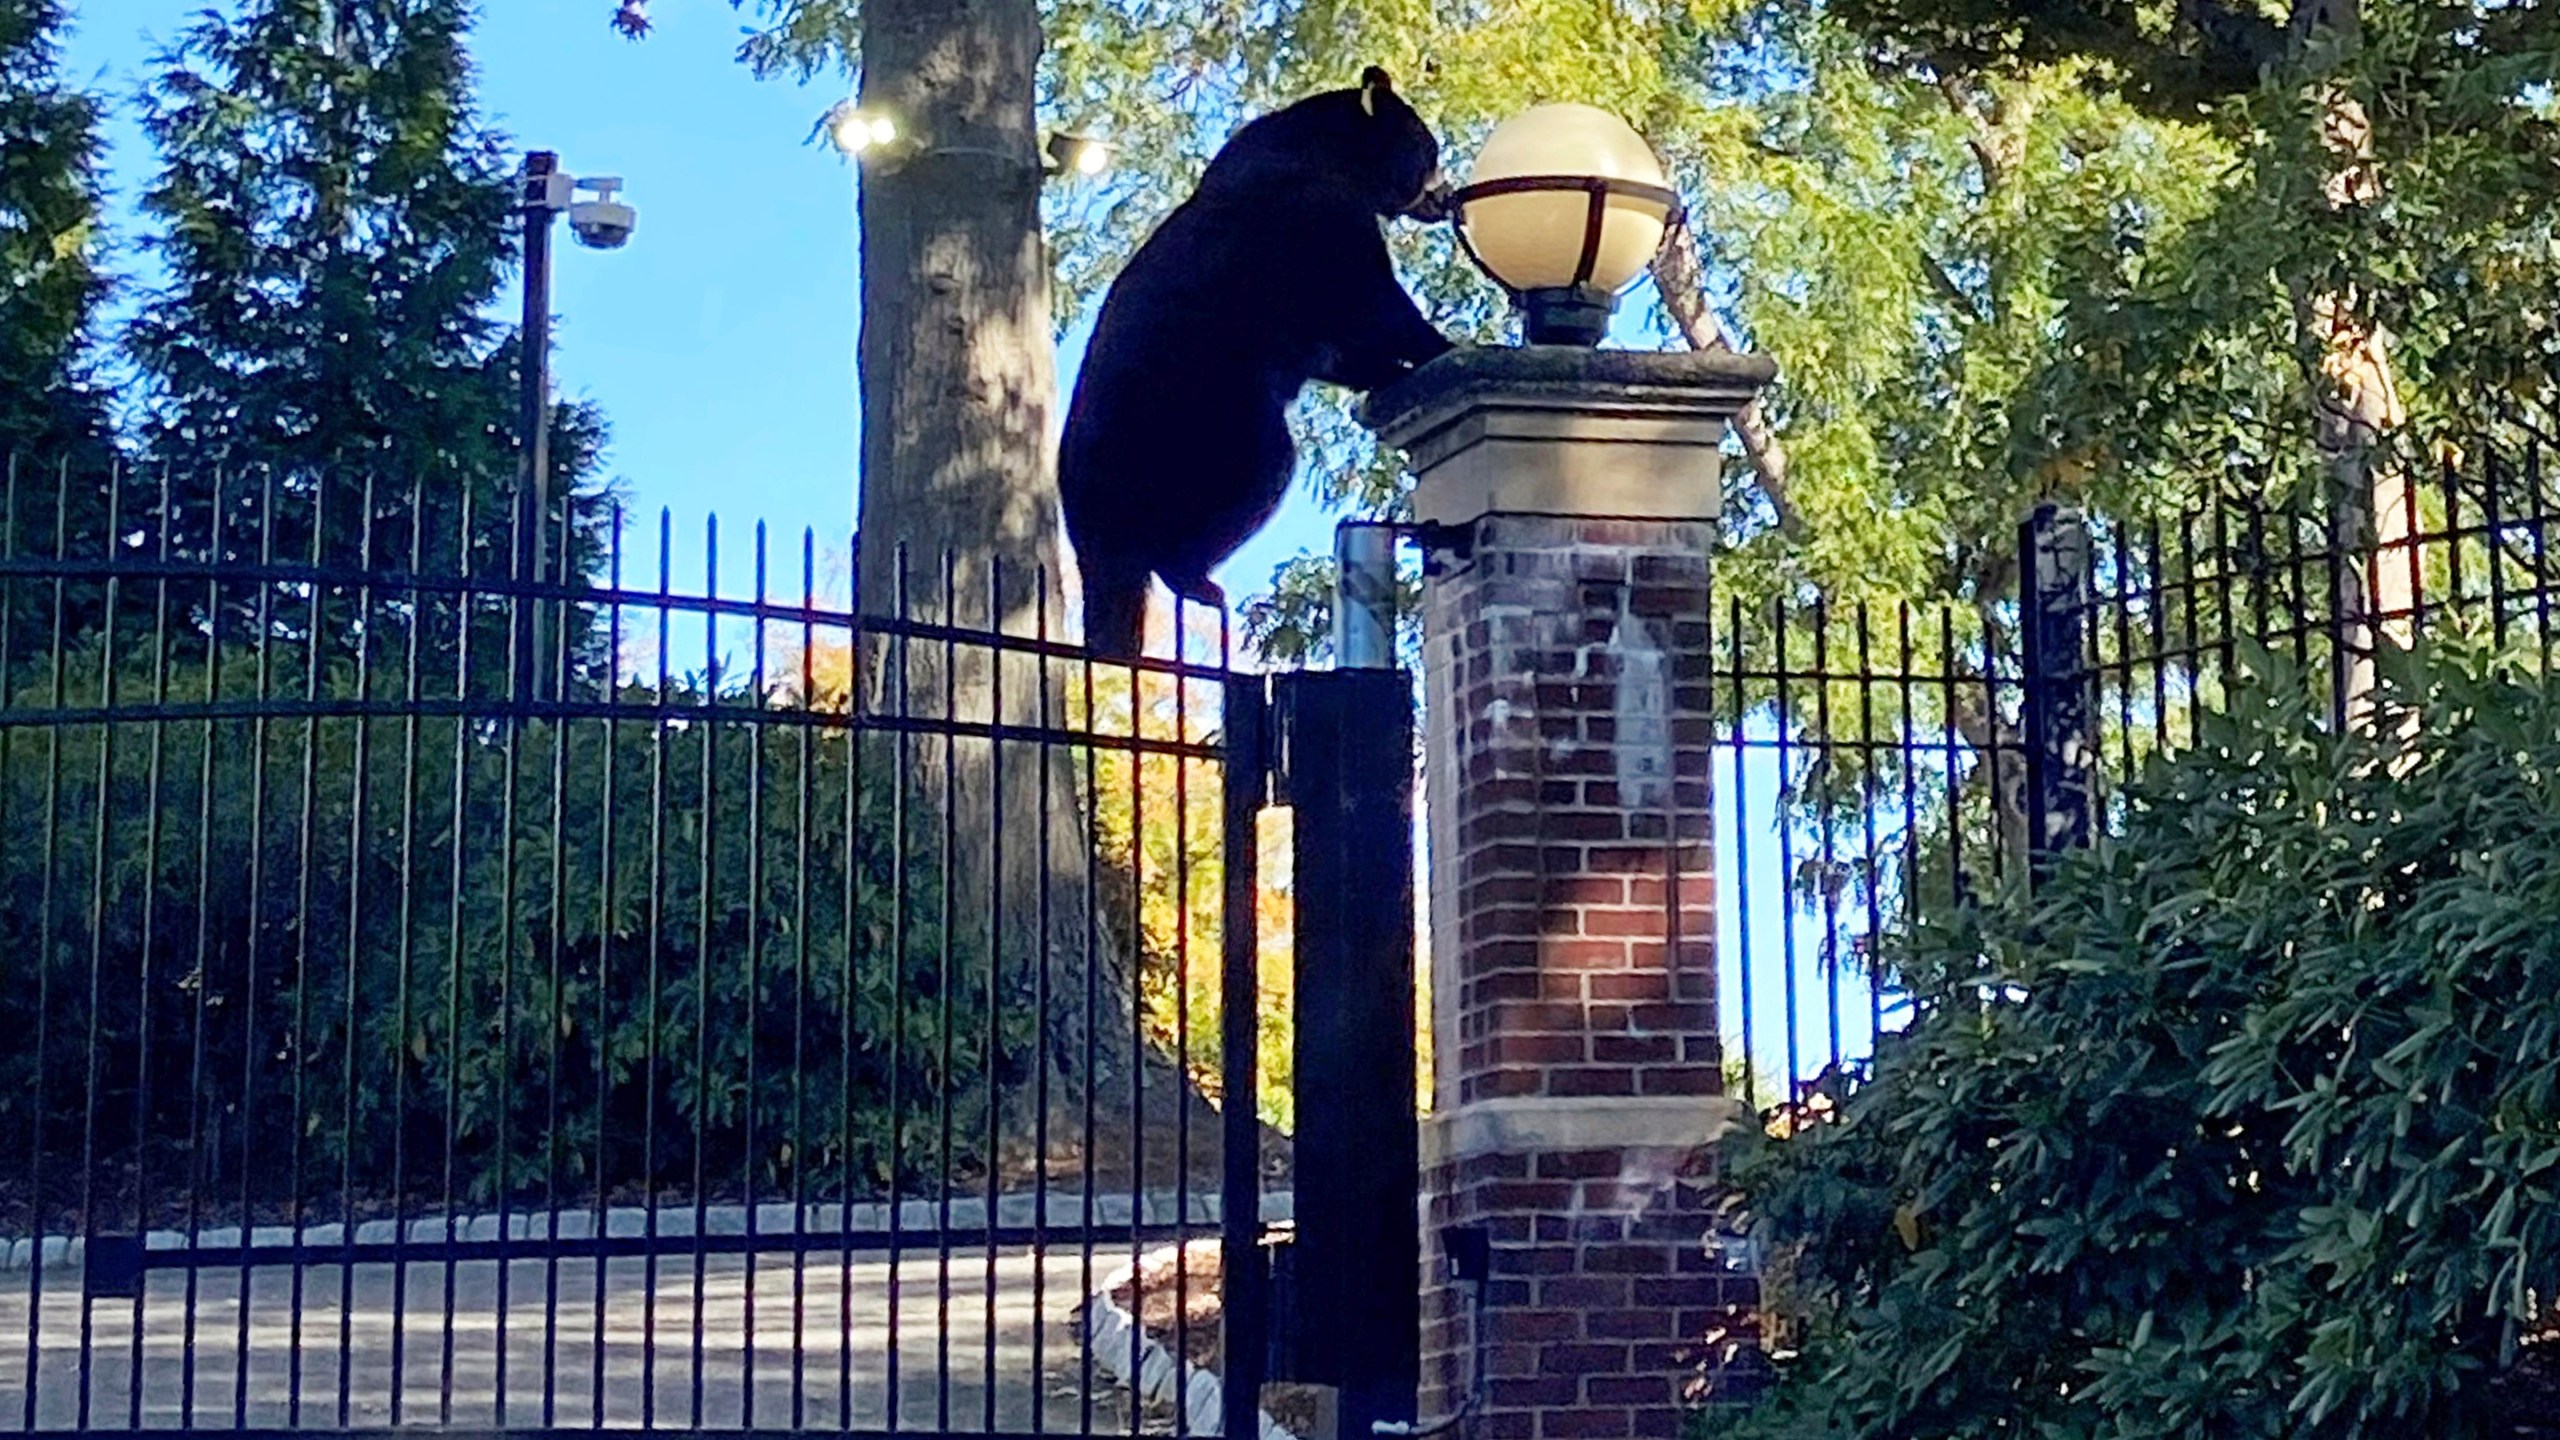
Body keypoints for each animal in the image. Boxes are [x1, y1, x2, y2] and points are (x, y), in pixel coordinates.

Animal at [1059, 63, 1464, 655]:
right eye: (1429, 149)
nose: (1448, 194)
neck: (1333, 156)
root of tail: (1086, 524)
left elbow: (1334, 348)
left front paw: (1385, 372)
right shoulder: (1314, 219)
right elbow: (1371, 303)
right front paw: (1443, 345)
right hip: (1199, 430)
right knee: (1262, 469)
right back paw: (1195, 577)